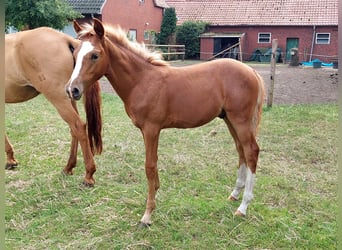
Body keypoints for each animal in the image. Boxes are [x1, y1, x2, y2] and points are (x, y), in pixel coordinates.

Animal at [5, 26, 101, 186]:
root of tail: (66, 39)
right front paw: (11, 159)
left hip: (58, 98)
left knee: (78, 126)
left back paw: (89, 174)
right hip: (70, 97)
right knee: (74, 130)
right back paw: (69, 167)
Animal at [66, 19, 264, 226]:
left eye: (95, 55)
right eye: (74, 54)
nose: (72, 90)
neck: (141, 81)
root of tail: (251, 71)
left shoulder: (152, 129)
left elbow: (149, 166)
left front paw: (147, 214)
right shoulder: (148, 131)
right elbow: (154, 164)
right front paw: (156, 192)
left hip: (240, 120)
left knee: (251, 152)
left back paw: (243, 206)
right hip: (229, 120)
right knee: (241, 151)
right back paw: (234, 194)